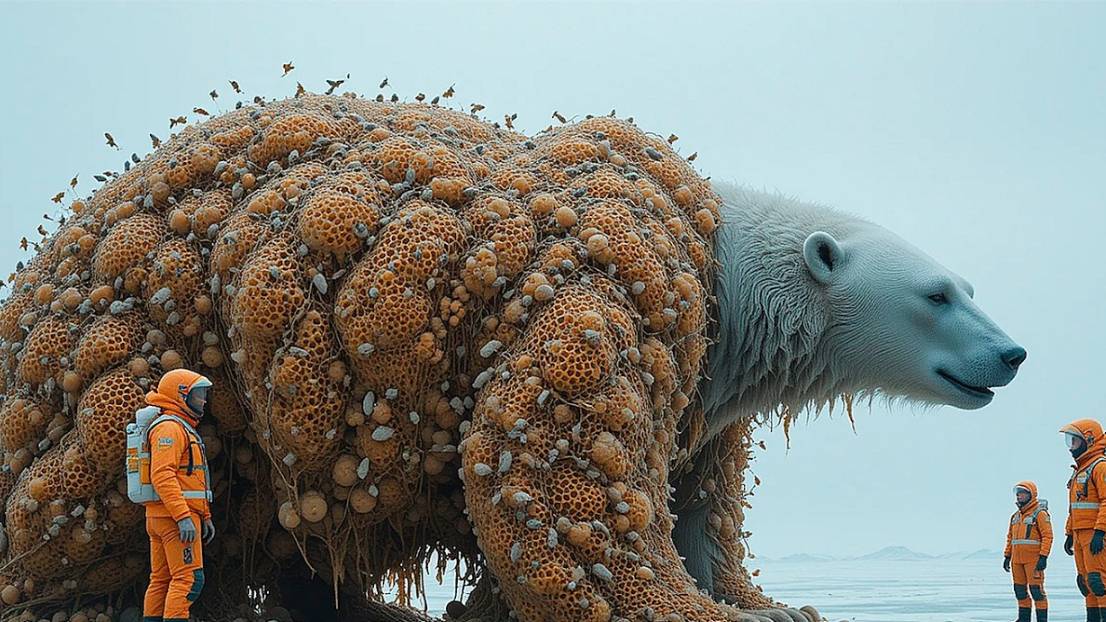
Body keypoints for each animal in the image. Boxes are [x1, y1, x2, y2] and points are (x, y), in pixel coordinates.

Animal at [0, 92, 1021, 622]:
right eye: (938, 294)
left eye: (970, 283)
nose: (1012, 352)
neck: (719, 262)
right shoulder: (610, 284)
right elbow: (557, 479)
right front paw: (695, 608)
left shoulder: (700, 378)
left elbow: (697, 498)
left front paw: (760, 602)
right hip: (147, 344)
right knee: (87, 502)